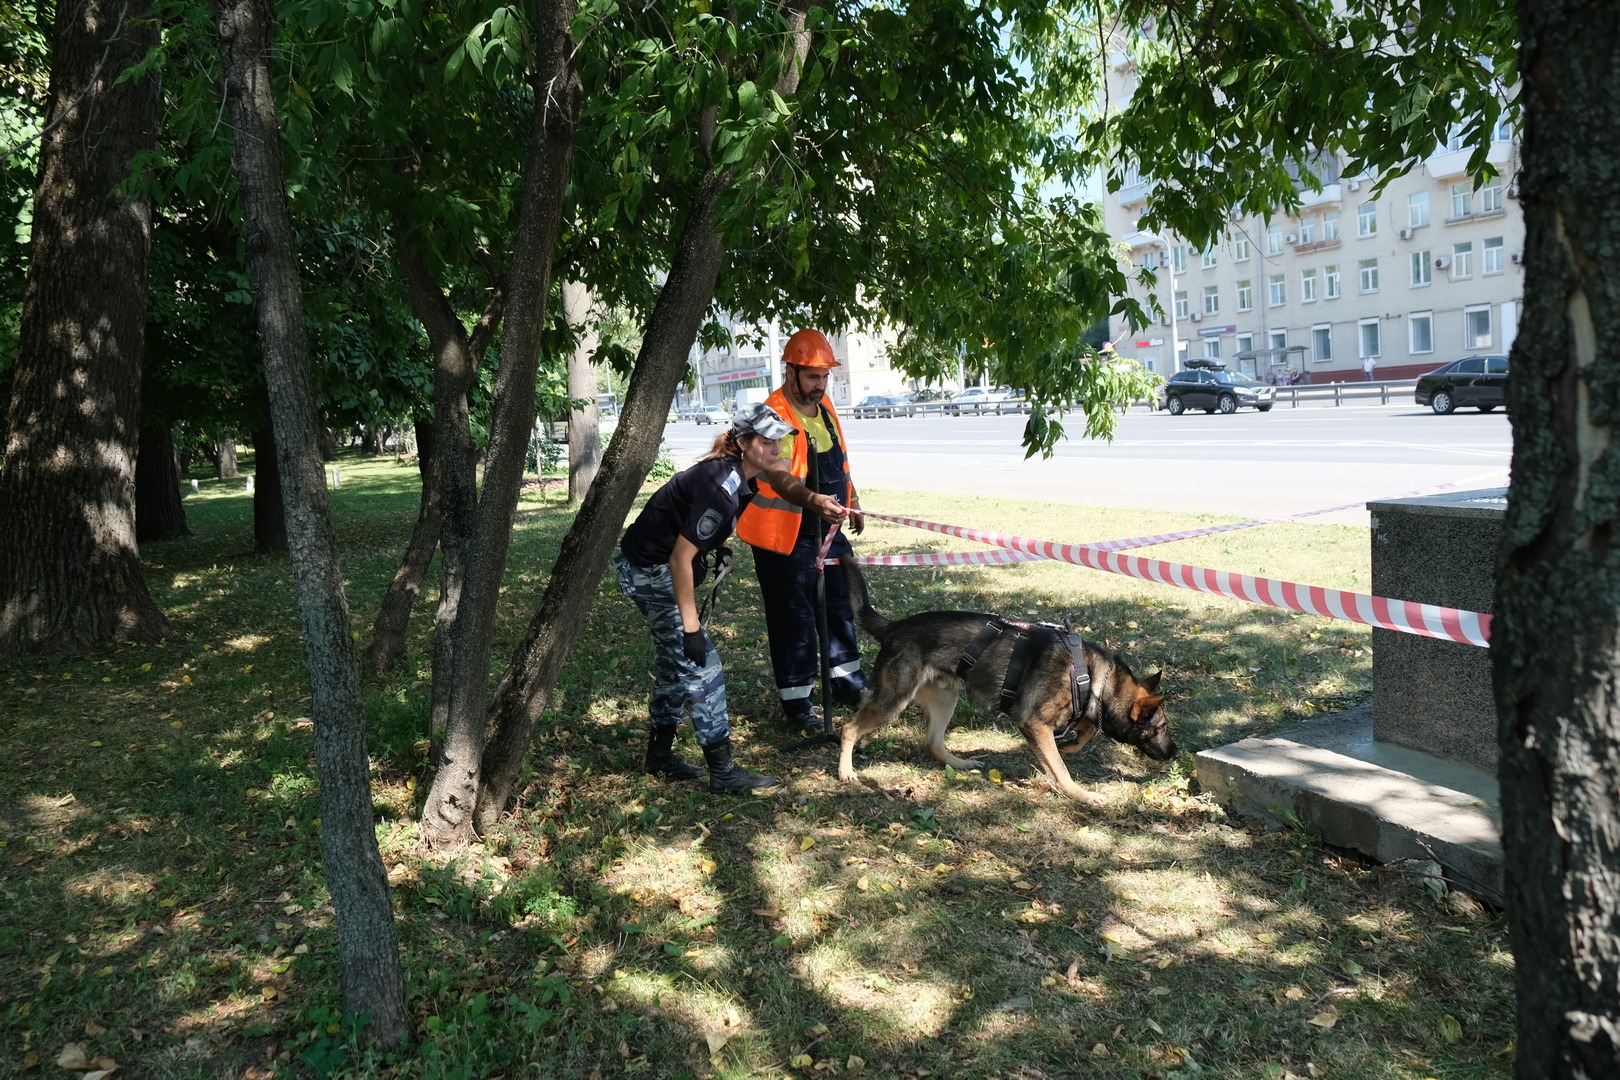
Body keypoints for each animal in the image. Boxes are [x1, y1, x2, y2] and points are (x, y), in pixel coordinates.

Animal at [835, 563, 1179, 806]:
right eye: (1161, 728)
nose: (1175, 754)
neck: (1093, 678)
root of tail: (894, 627)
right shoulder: (1034, 723)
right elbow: (1063, 768)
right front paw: (1081, 794)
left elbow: (1085, 731)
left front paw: (1070, 745)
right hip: (894, 701)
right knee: (849, 729)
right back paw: (846, 772)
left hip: (946, 700)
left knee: (932, 743)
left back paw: (961, 763)